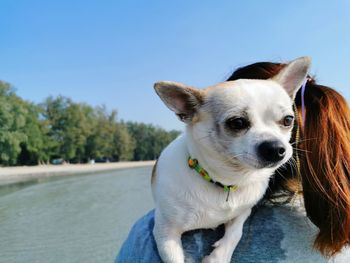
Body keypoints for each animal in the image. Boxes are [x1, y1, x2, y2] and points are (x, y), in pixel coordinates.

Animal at [152, 56, 310, 262]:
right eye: (237, 123)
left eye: (288, 120)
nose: (276, 148)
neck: (227, 180)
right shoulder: (165, 233)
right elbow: (174, 259)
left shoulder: (244, 211)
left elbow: (236, 232)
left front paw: (218, 256)